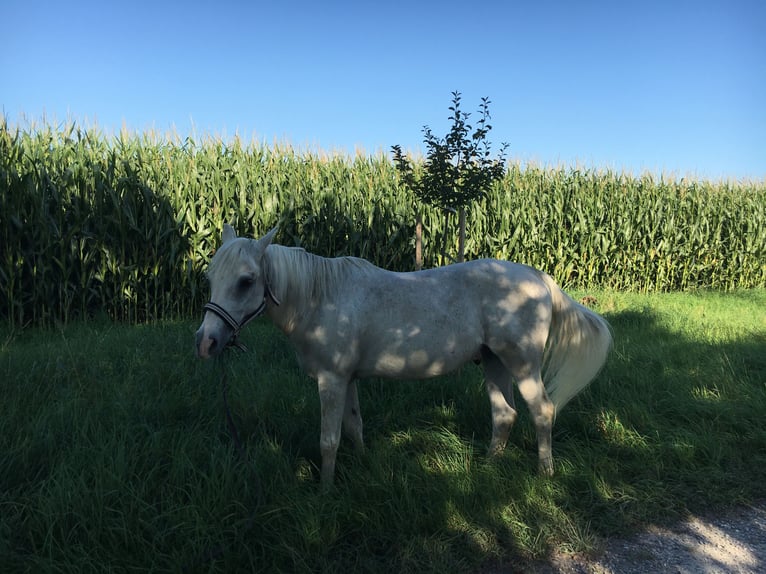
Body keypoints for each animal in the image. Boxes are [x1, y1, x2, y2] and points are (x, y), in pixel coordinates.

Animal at [196, 224, 612, 488]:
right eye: (210, 277)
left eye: (246, 281)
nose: (206, 342)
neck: (321, 299)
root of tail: (539, 278)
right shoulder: (347, 379)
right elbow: (354, 426)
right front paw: (364, 466)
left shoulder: (331, 379)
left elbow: (329, 439)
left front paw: (325, 492)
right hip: (494, 363)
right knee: (505, 414)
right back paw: (488, 468)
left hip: (522, 364)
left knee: (542, 411)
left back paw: (545, 474)